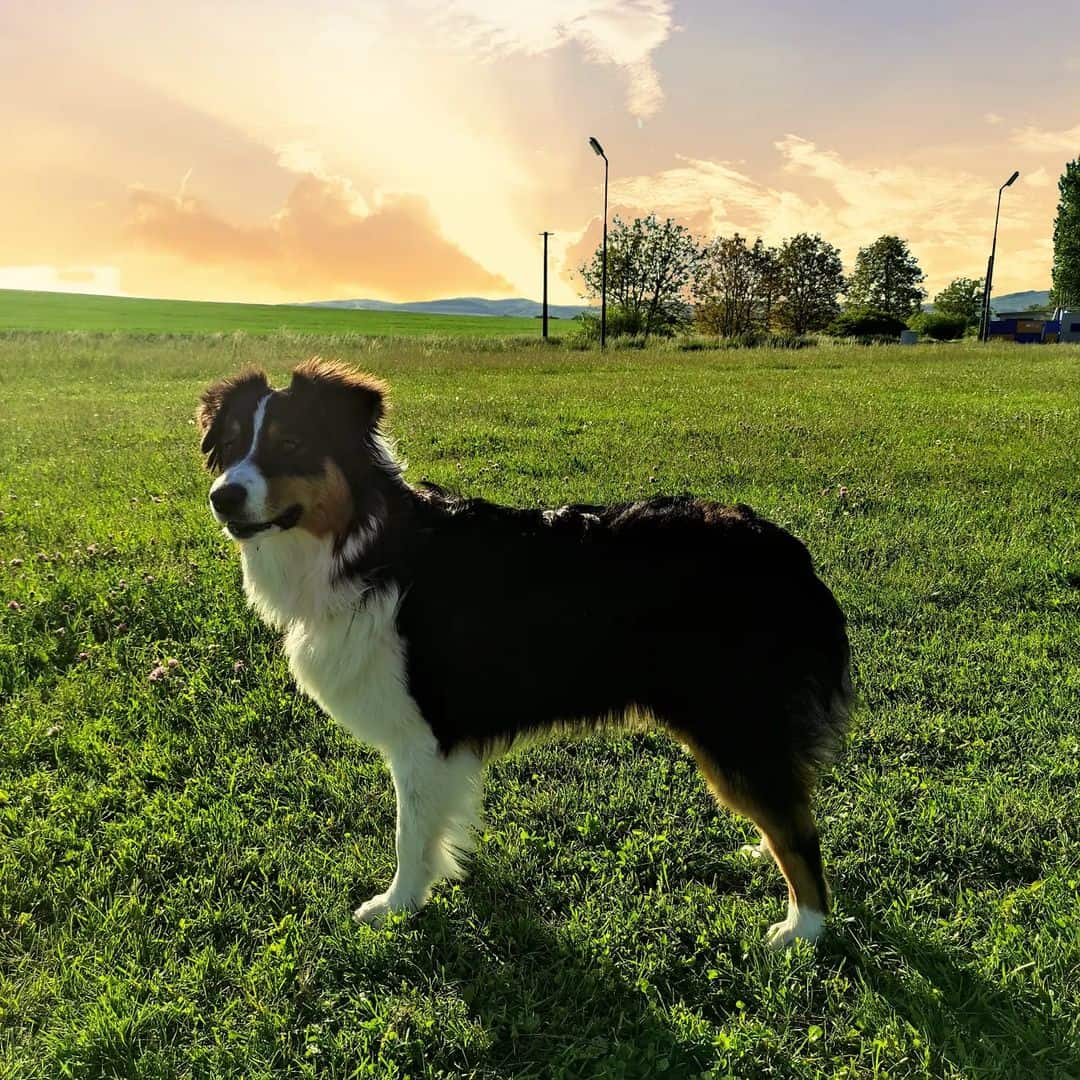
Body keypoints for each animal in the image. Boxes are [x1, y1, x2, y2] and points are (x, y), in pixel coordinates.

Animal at [196, 360, 851, 946]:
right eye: (229, 446)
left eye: (291, 443)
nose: (222, 497)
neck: (367, 544)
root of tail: (786, 549)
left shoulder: (421, 735)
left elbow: (410, 833)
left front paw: (398, 904)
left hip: (733, 720)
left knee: (797, 829)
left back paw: (803, 928)